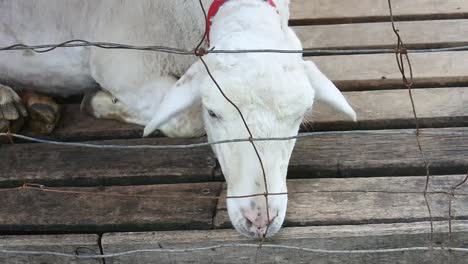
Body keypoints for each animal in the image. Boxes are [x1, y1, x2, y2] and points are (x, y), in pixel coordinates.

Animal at [0, 0, 354, 237]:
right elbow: (185, 119)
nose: (259, 222)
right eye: (213, 112)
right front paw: (98, 102)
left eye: (300, 116)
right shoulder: (122, 62)